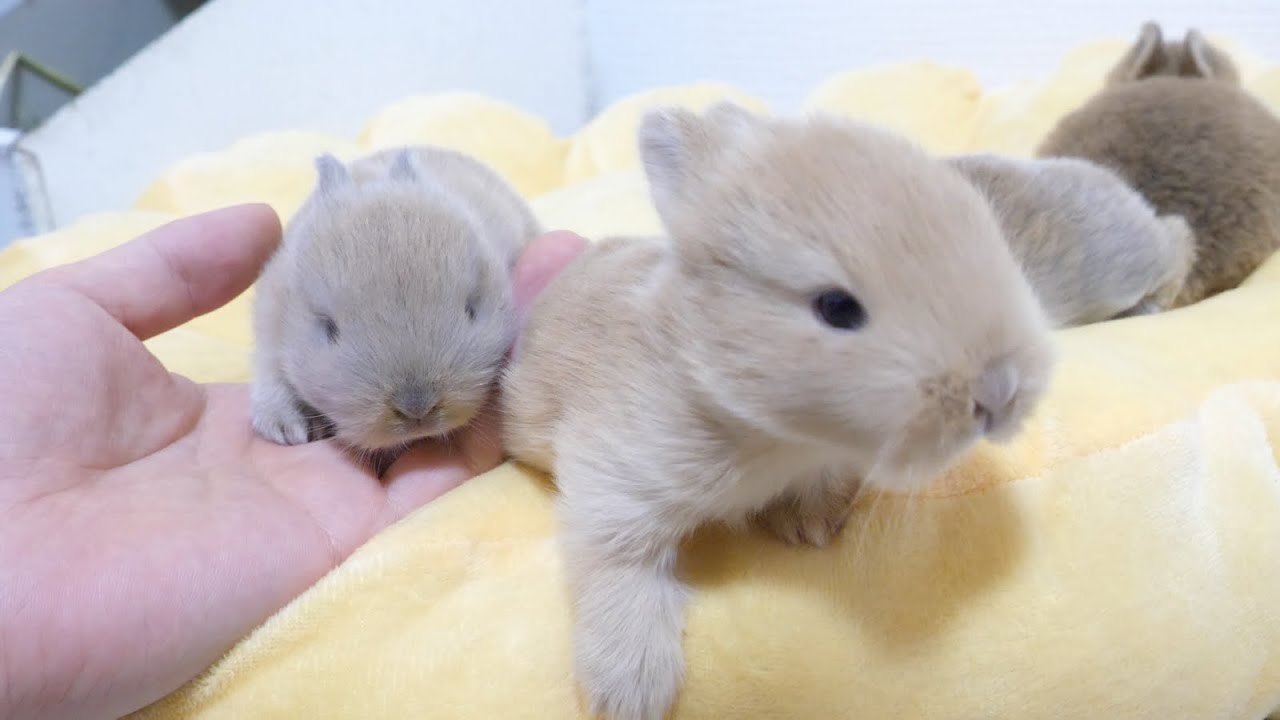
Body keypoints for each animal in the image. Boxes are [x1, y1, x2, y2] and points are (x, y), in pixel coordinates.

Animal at [501, 102, 1057, 720]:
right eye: (836, 307)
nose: (1000, 391)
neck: (778, 432)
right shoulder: (616, 484)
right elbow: (619, 568)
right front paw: (631, 692)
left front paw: (808, 527)